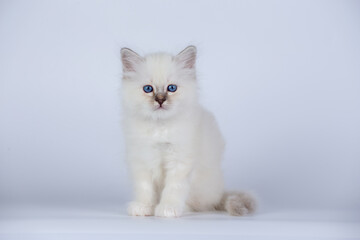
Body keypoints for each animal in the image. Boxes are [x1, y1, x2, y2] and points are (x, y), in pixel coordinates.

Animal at [119, 46, 255, 217]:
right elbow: (144, 188)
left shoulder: (180, 160)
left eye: (171, 88)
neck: (160, 127)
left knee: (199, 205)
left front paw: (168, 208)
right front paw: (143, 207)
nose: (160, 100)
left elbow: (173, 188)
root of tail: (220, 193)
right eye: (148, 89)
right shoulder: (142, 160)